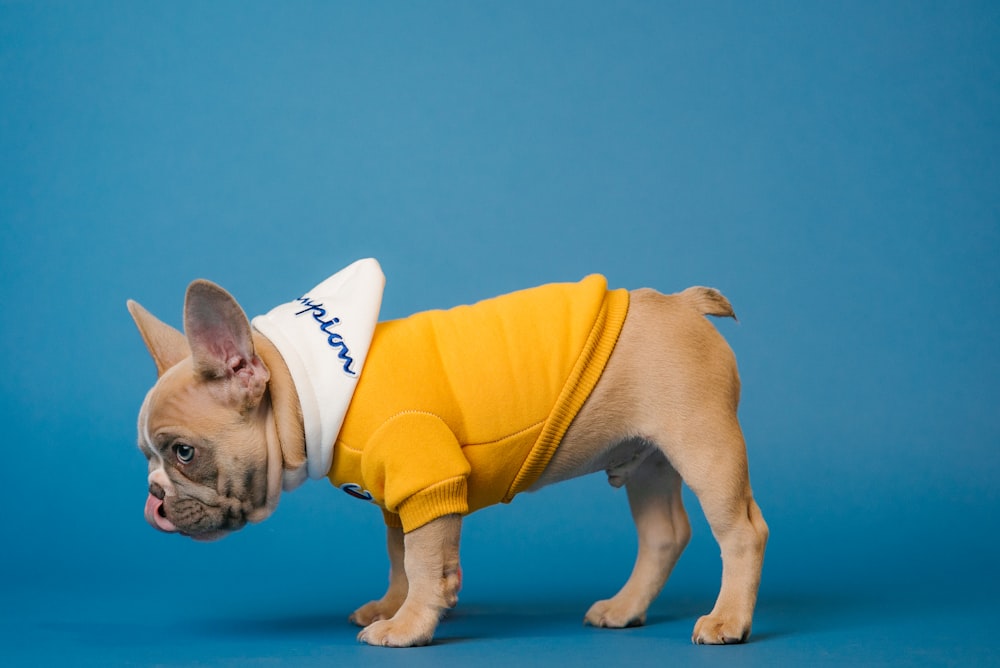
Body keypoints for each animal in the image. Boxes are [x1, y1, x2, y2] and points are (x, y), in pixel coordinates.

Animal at [129, 260, 768, 648]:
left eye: (183, 453)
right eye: (147, 458)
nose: (153, 502)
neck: (301, 398)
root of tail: (684, 303)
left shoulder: (426, 477)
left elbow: (418, 560)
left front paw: (408, 626)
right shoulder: (399, 496)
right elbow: (401, 556)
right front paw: (396, 606)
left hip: (704, 446)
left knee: (741, 531)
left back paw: (728, 619)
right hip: (647, 462)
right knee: (664, 534)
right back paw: (625, 607)